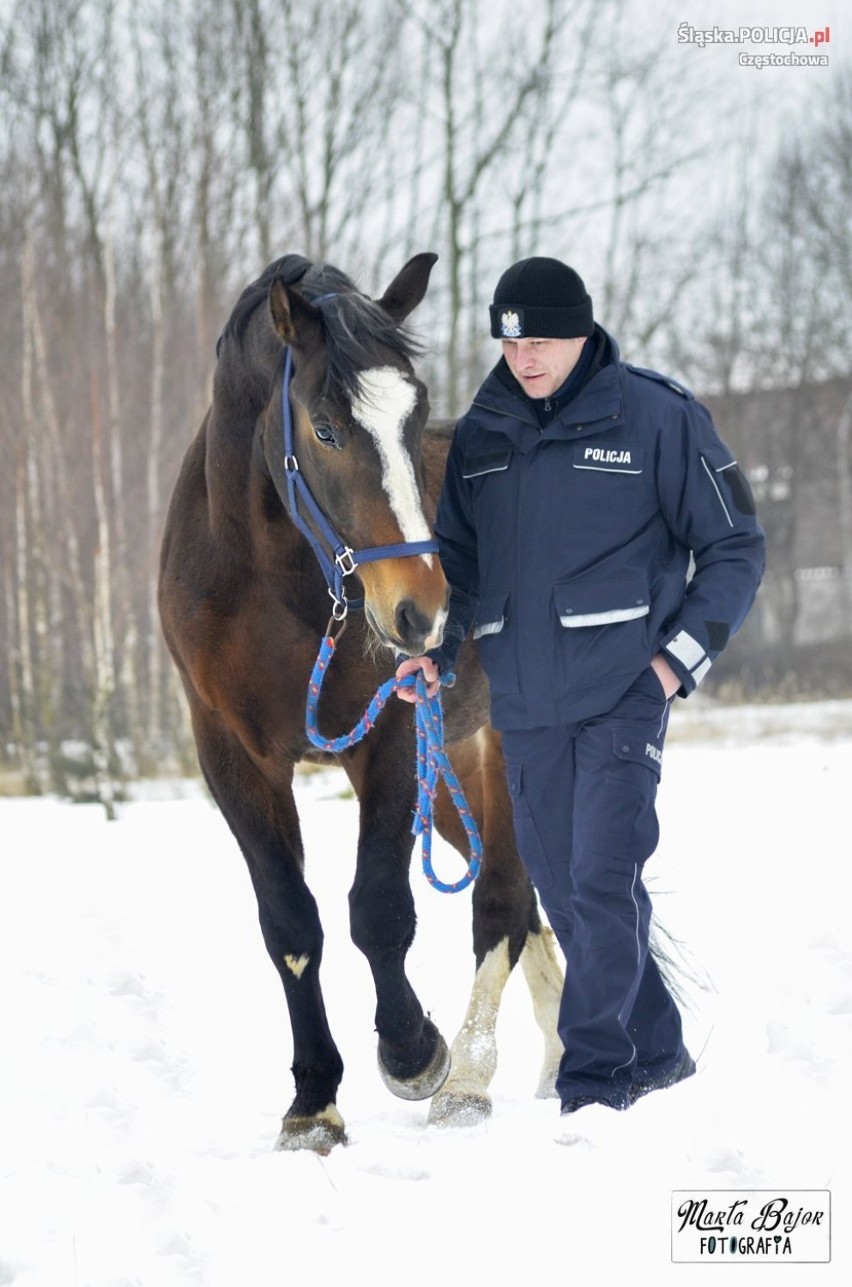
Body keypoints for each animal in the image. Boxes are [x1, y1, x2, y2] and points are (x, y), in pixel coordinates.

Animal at [158, 253, 566, 1158]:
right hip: (456, 771)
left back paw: (473, 1079)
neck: (269, 582)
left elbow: (378, 909)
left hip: (500, 750)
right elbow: (290, 925)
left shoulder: (390, 739)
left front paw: (414, 1050)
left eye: (414, 416)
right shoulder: (232, 758)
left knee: (503, 901)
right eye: (324, 428)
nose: (423, 611)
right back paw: (557, 1066)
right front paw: (313, 1103)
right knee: (527, 907)